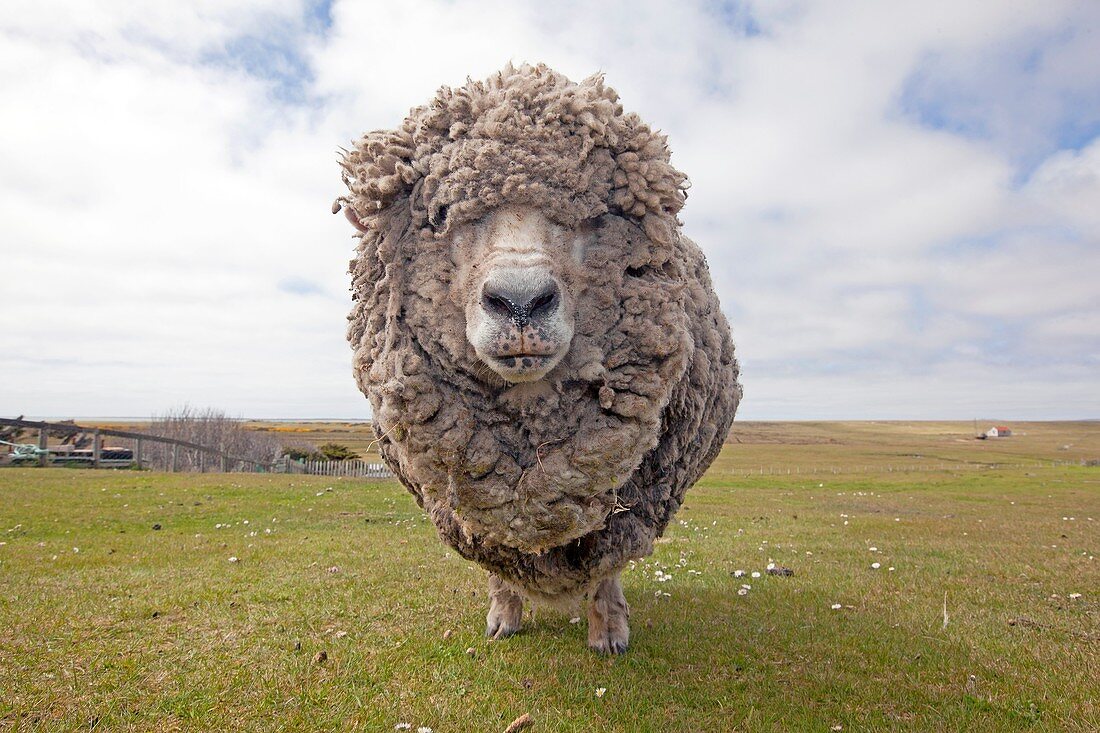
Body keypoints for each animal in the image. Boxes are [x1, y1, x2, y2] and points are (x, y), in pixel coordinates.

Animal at [334, 59, 743, 647]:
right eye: (439, 216)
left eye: (590, 218)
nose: (521, 301)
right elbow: (498, 556)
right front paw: (503, 614)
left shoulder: (627, 499)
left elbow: (605, 561)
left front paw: (608, 629)